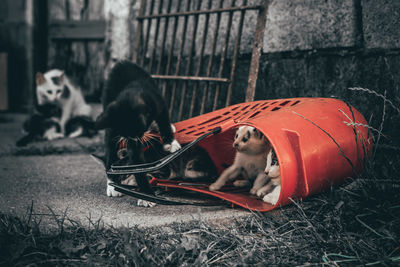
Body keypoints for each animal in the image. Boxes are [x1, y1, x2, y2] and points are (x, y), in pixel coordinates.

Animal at [94, 61, 180, 198]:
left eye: (137, 131)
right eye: (128, 134)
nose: (136, 139)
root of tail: (120, 63)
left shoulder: (158, 103)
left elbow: (164, 120)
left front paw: (170, 143)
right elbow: (136, 161)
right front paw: (146, 194)